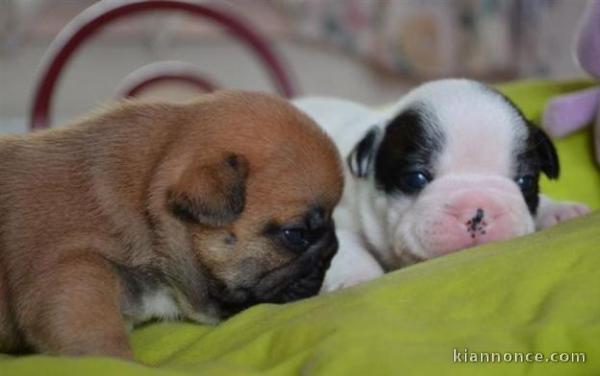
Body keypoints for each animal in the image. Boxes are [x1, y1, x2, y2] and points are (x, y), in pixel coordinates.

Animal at [296, 78, 592, 290]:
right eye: (416, 178)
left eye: (525, 181)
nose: (477, 210)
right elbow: (346, 250)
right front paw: (358, 278)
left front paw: (559, 211)